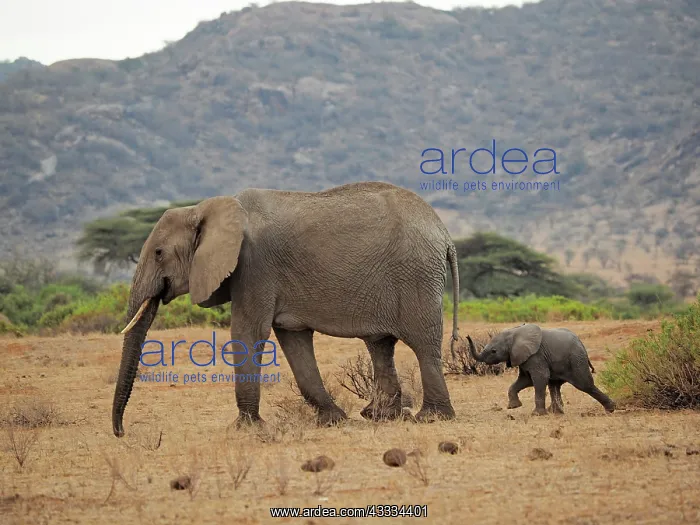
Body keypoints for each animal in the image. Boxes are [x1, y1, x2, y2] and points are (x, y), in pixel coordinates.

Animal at [112, 181, 461, 437]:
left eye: (158, 253)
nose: (121, 432)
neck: (205, 208)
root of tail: (445, 235)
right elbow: (294, 340)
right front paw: (333, 420)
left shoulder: (253, 266)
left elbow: (248, 333)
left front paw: (246, 428)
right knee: (380, 344)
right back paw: (379, 416)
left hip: (416, 275)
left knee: (422, 343)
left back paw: (431, 417)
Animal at [466, 324, 615, 415]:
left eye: (493, 351)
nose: (467, 336)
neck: (514, 333)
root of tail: (581, 343)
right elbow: (525, 380)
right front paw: (514, 407)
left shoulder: (536, 355)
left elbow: (539, 377)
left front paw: (537, 414)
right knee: (554, 385)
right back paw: (555, 412)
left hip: (576, 359)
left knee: (584, 384)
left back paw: (611, 409)